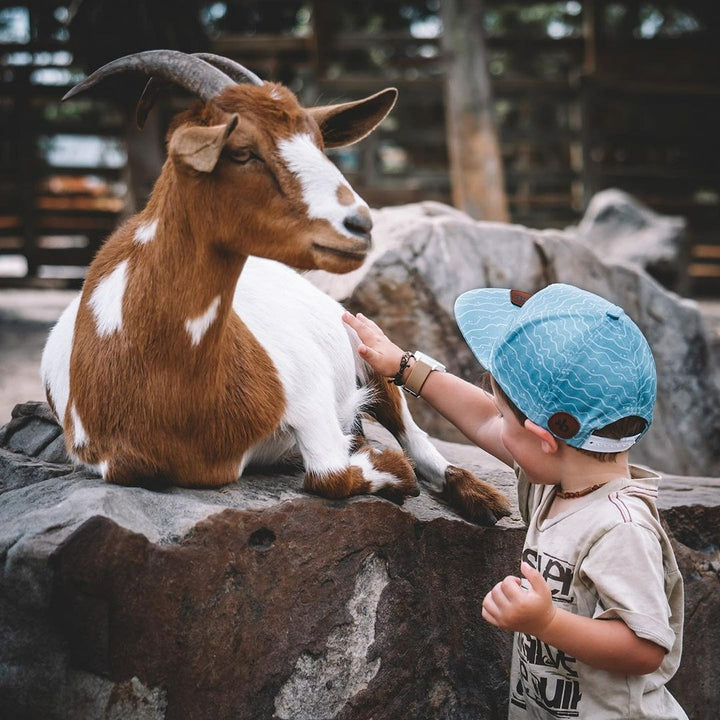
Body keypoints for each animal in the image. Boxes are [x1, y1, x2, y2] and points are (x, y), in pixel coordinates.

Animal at [40, 49, 512, 524]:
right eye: (242, 152)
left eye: (320, 146)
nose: (360, 225)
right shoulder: (107, 456)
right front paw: (373, 457)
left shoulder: (311, 389)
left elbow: (332, 474)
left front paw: (384, 464)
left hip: (364, 345)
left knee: (414, 434)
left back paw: (485, 499)